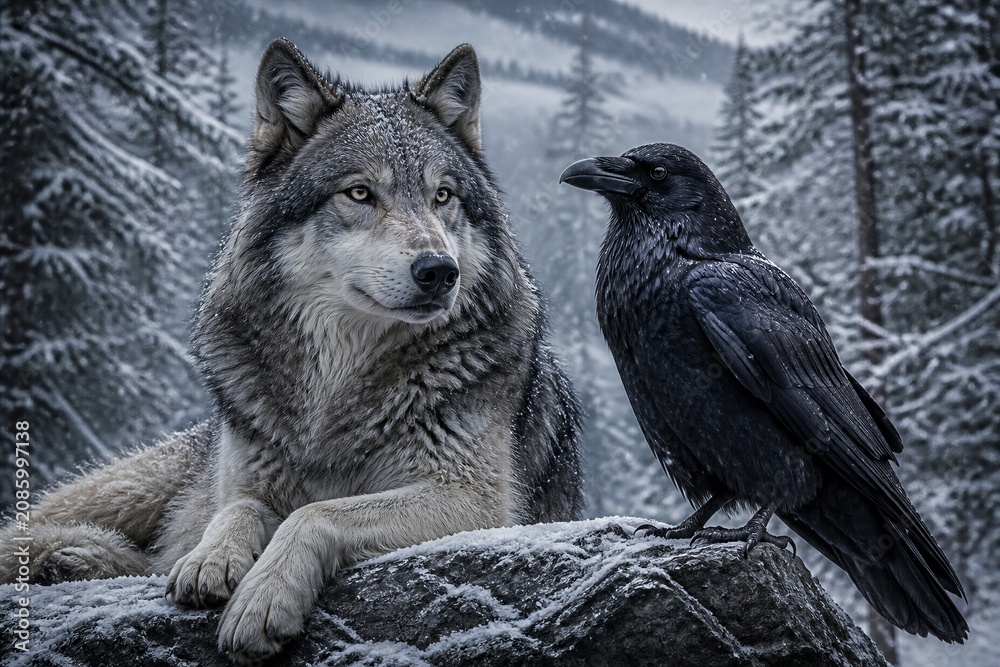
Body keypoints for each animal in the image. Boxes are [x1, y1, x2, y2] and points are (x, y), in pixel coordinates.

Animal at [0, 39, 584, 664]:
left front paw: (262, 599)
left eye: (443, 196)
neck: (335, 383)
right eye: (360, 192)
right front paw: (212, 558)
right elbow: (239, 507)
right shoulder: (244, 480)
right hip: (125, 490)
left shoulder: (477, 503)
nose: (439, 271)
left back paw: (79, 559)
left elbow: (312, 513)